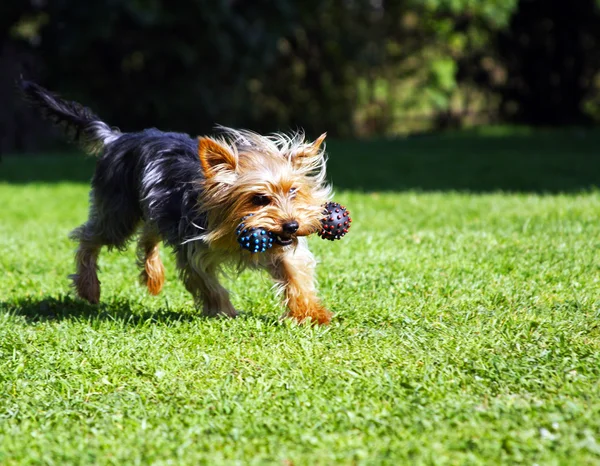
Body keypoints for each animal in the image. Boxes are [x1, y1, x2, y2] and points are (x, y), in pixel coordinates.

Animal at [21, 81, 336, 324]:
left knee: (147, 237)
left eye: (293, 191)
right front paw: (225, 313)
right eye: (259, 199)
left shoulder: (283, 249)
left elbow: (295, 274)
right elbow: (208, 284)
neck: (229, 227)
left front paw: (313, 314)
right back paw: (89, 287)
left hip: (154, 207)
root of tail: (117, 139)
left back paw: (153, 277)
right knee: (89, 237)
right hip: (118, 211)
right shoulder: (194, 251)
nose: (292, 225)